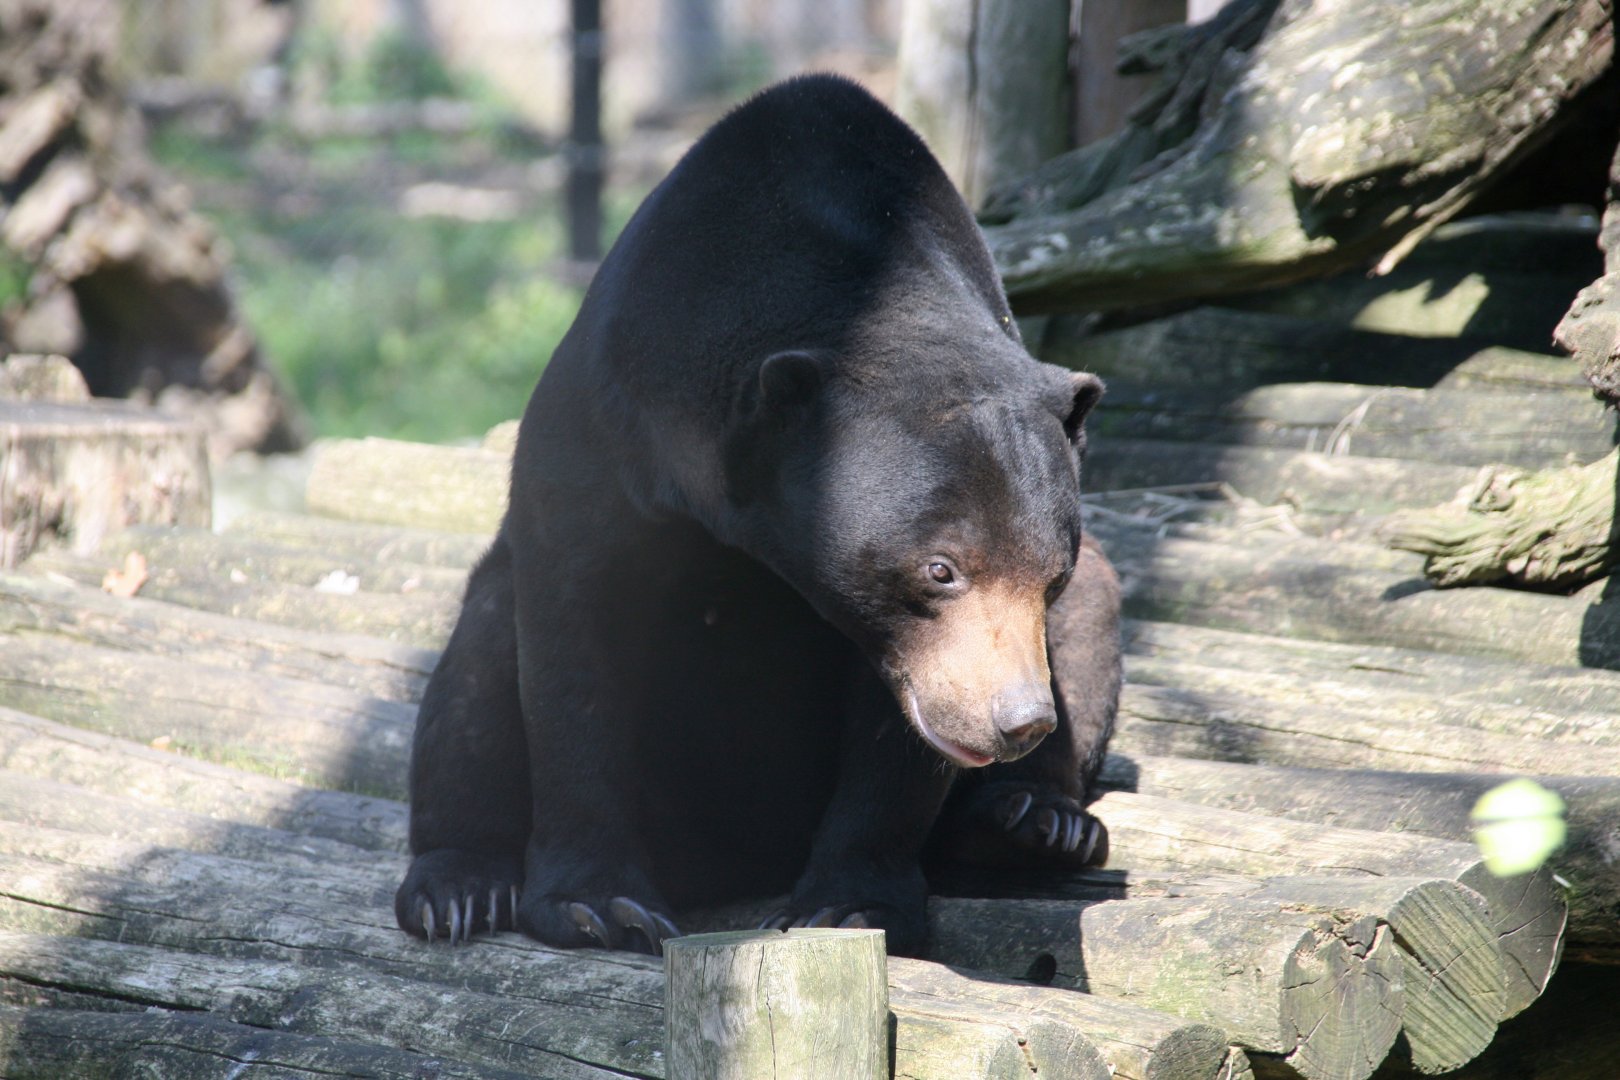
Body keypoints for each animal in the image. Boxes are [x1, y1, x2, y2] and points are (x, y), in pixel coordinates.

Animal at [394, 73, 1122, 958]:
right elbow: (574, 644)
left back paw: (1035, 824)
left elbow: (900, 731)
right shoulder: (603, 429)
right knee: (479, 660)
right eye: (941, 570)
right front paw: (597, 909)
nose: (1018, 721)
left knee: (1098, 611)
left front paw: (852, 906)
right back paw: (459, 888)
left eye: (1049, 577)